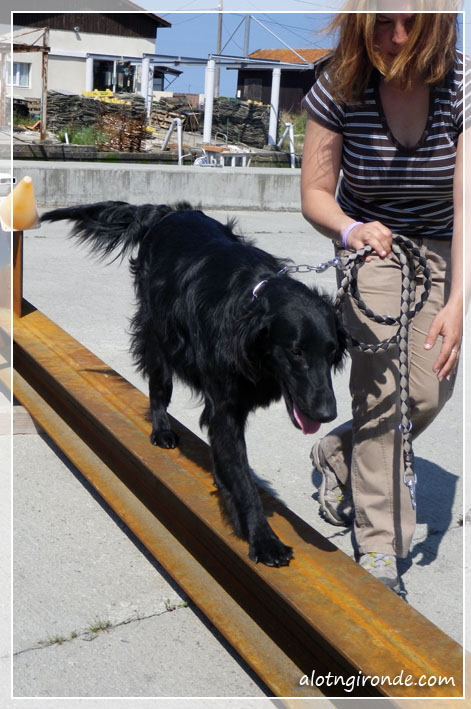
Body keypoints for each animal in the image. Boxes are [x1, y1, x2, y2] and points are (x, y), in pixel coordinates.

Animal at [42, 202, 346, 567]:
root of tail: (168, 211)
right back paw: (162, 430)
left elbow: (231, 465)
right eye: (296, 352)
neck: (248, 305)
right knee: (159, 390)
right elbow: (243, 481)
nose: (327, 414)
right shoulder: (224, 408)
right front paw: (264, 540)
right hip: (157, 335)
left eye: (331, 353)